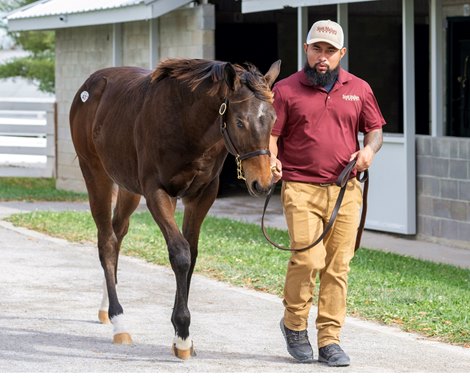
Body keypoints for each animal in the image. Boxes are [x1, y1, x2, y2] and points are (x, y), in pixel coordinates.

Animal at [69, 58, 280, 360]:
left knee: (118, 233)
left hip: (128, 187)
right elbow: (180, 254)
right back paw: (119, 321)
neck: (186, 123)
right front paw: (182, 334)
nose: (262, 183)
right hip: (96, 175)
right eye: (240, 121)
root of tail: (89, 86)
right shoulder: (158, 193)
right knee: (106, 242)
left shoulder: (201, 196)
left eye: (273, 119)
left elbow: (192, 254)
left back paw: (105, 307)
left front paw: (182, 336)